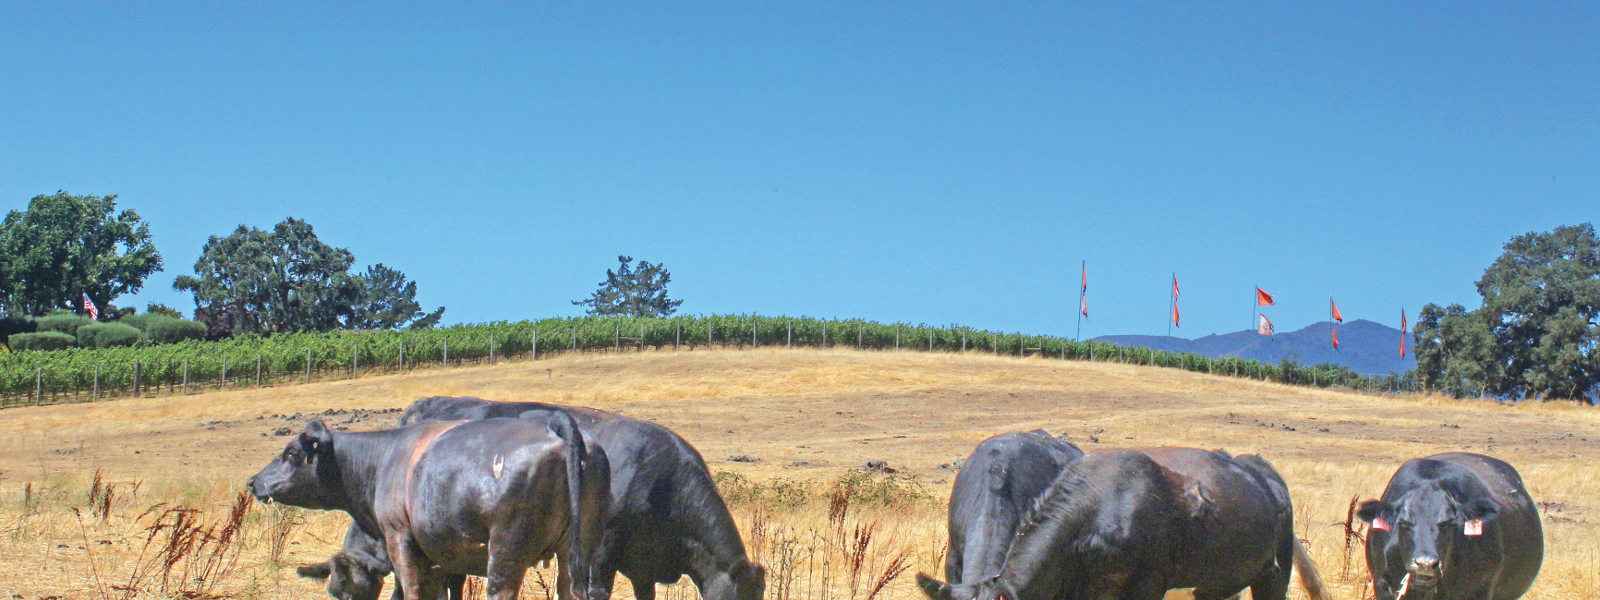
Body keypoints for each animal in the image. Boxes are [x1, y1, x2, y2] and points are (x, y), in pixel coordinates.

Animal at [249, 415, 609, 600]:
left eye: (293, 454)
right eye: (336, 594)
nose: (254, 481)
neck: (382, 459)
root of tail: (553, 424)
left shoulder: (400, 540)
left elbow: (410, 591)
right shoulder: (441, 557)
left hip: (507, 552)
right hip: (576, 552)